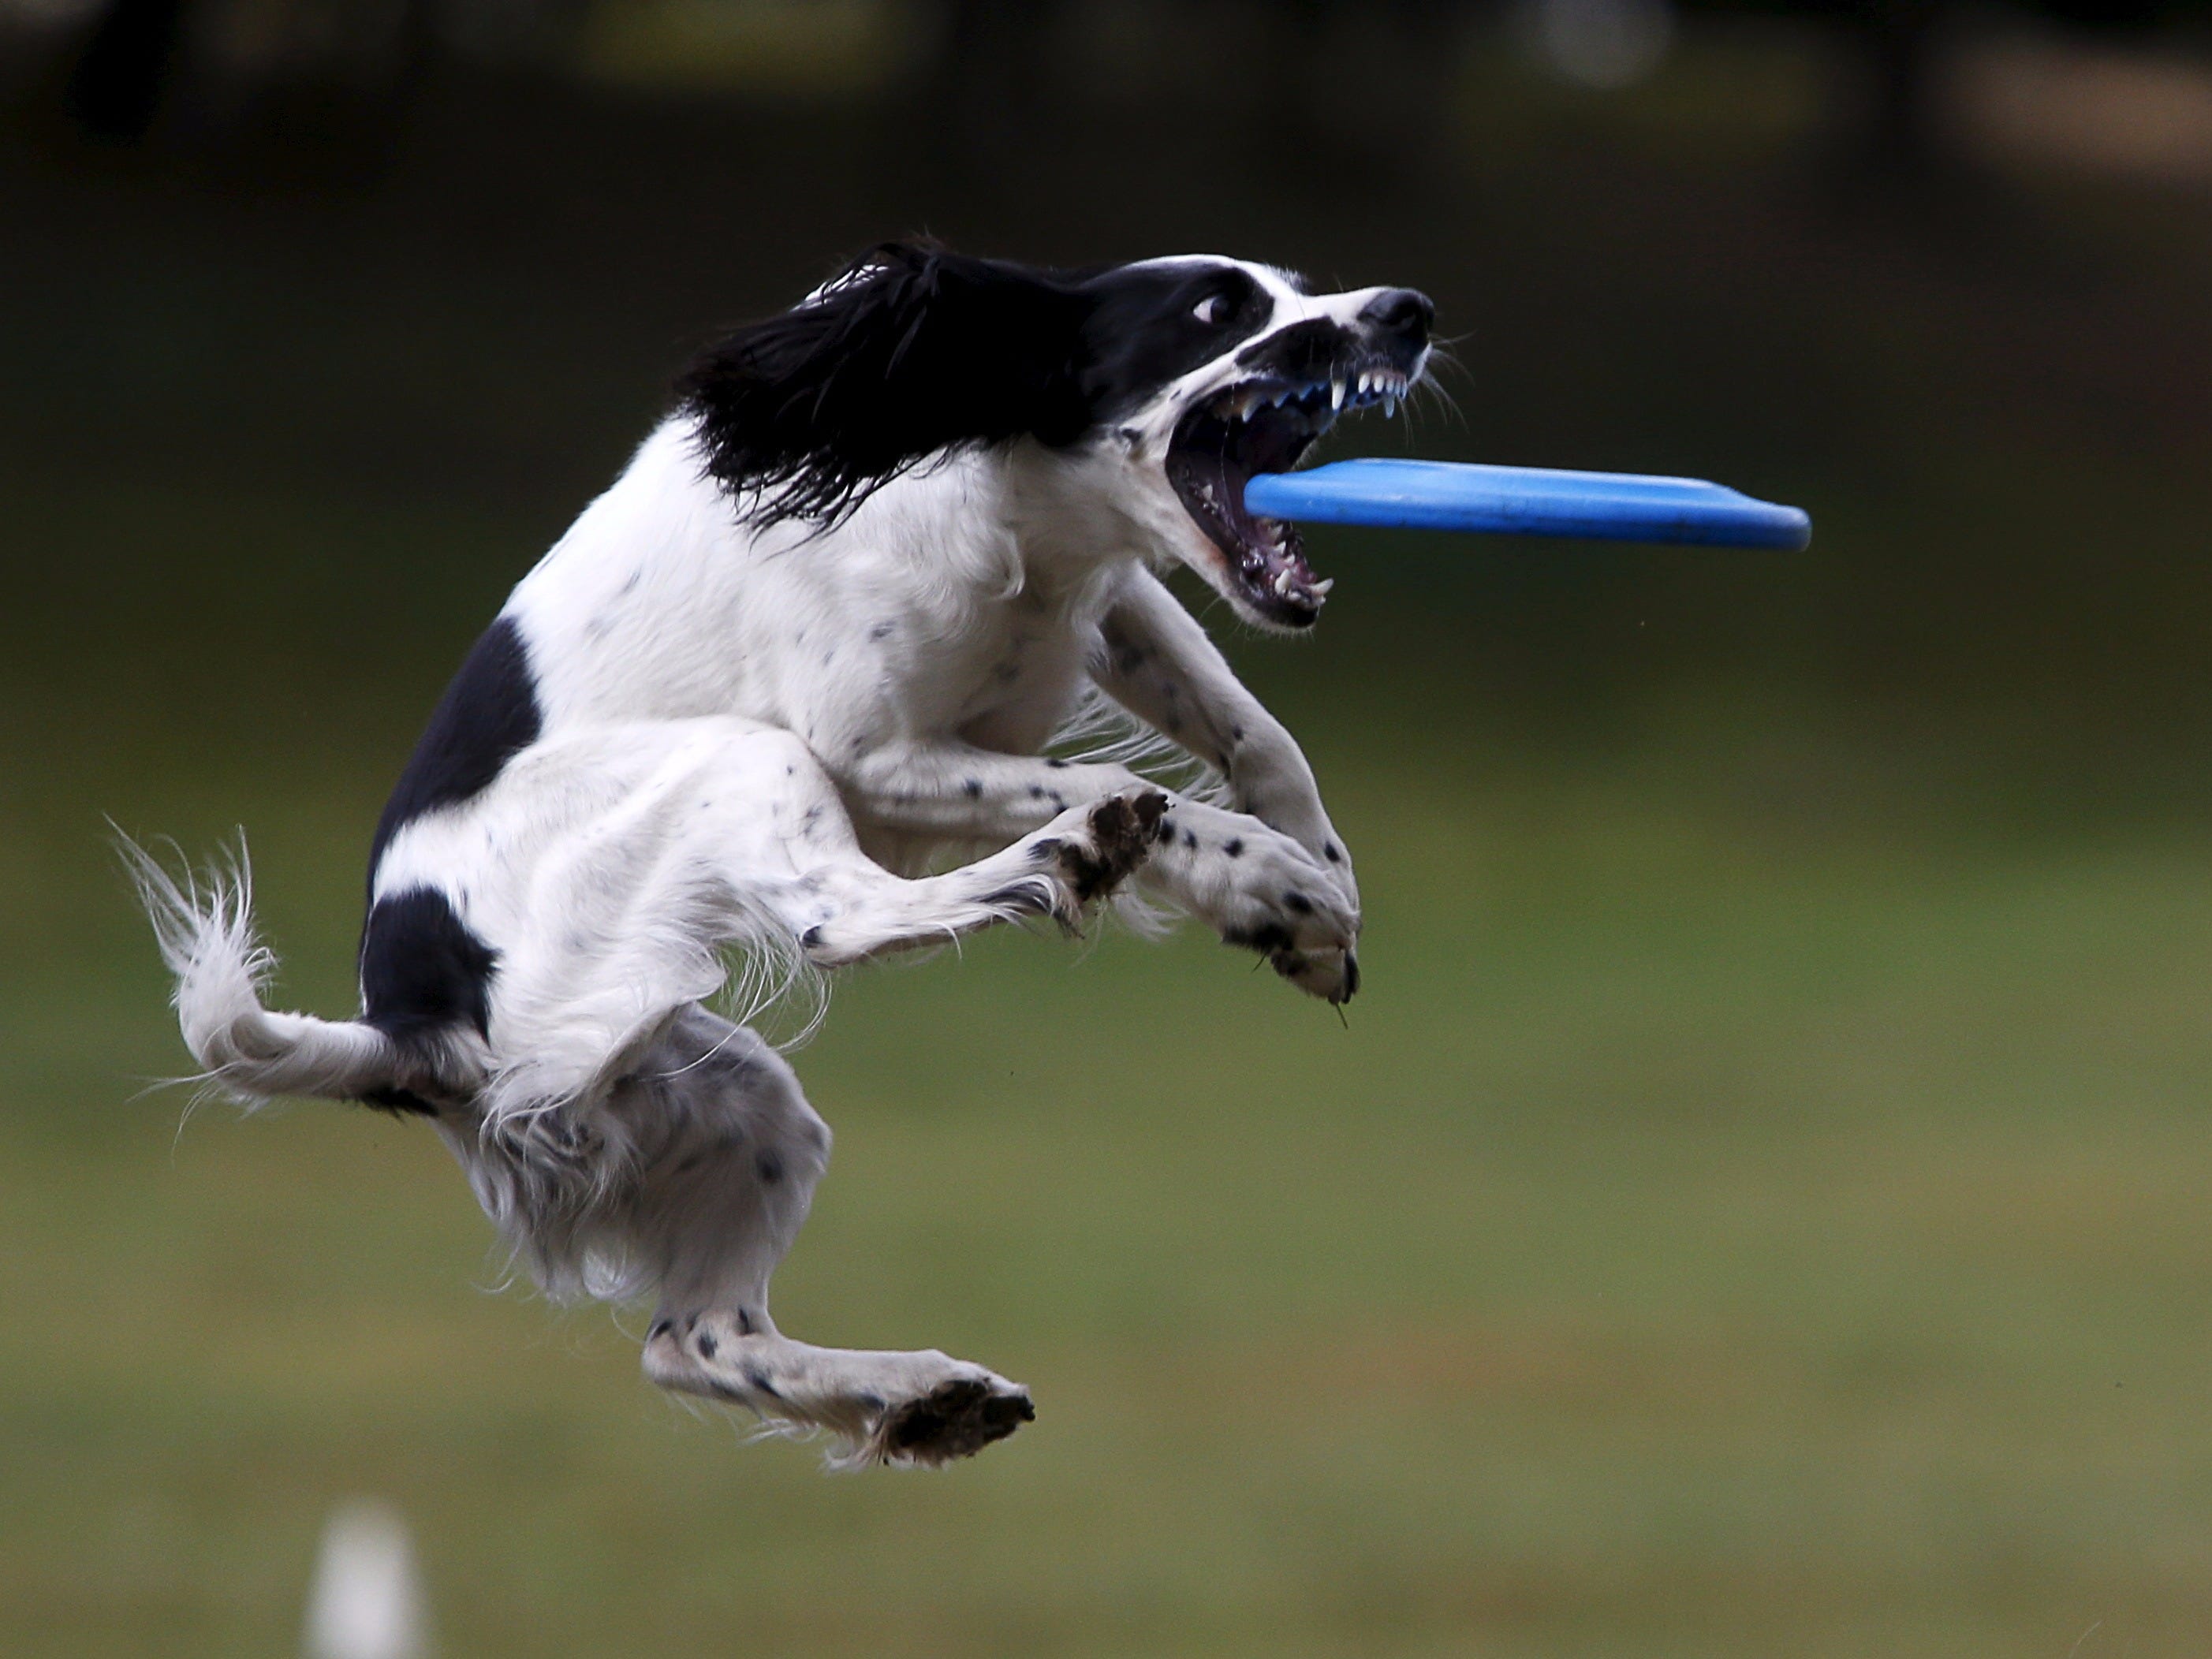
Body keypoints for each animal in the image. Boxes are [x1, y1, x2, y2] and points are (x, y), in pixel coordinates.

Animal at [142, 246, 1451, 1468]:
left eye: (1296, 285)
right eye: (1218, 309)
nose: (1406, 311)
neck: (996, 492)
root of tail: (407, 1019)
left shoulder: (1116, 609)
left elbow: (1252, 727)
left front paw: (1310, 888)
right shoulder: (869, 754)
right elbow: (1129, 786)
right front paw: (1263, 878)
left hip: (731, 1105)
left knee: (692, 1342)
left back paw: (922, 1396)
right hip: (743, 765)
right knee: (849, 919)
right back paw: (1066, 855)